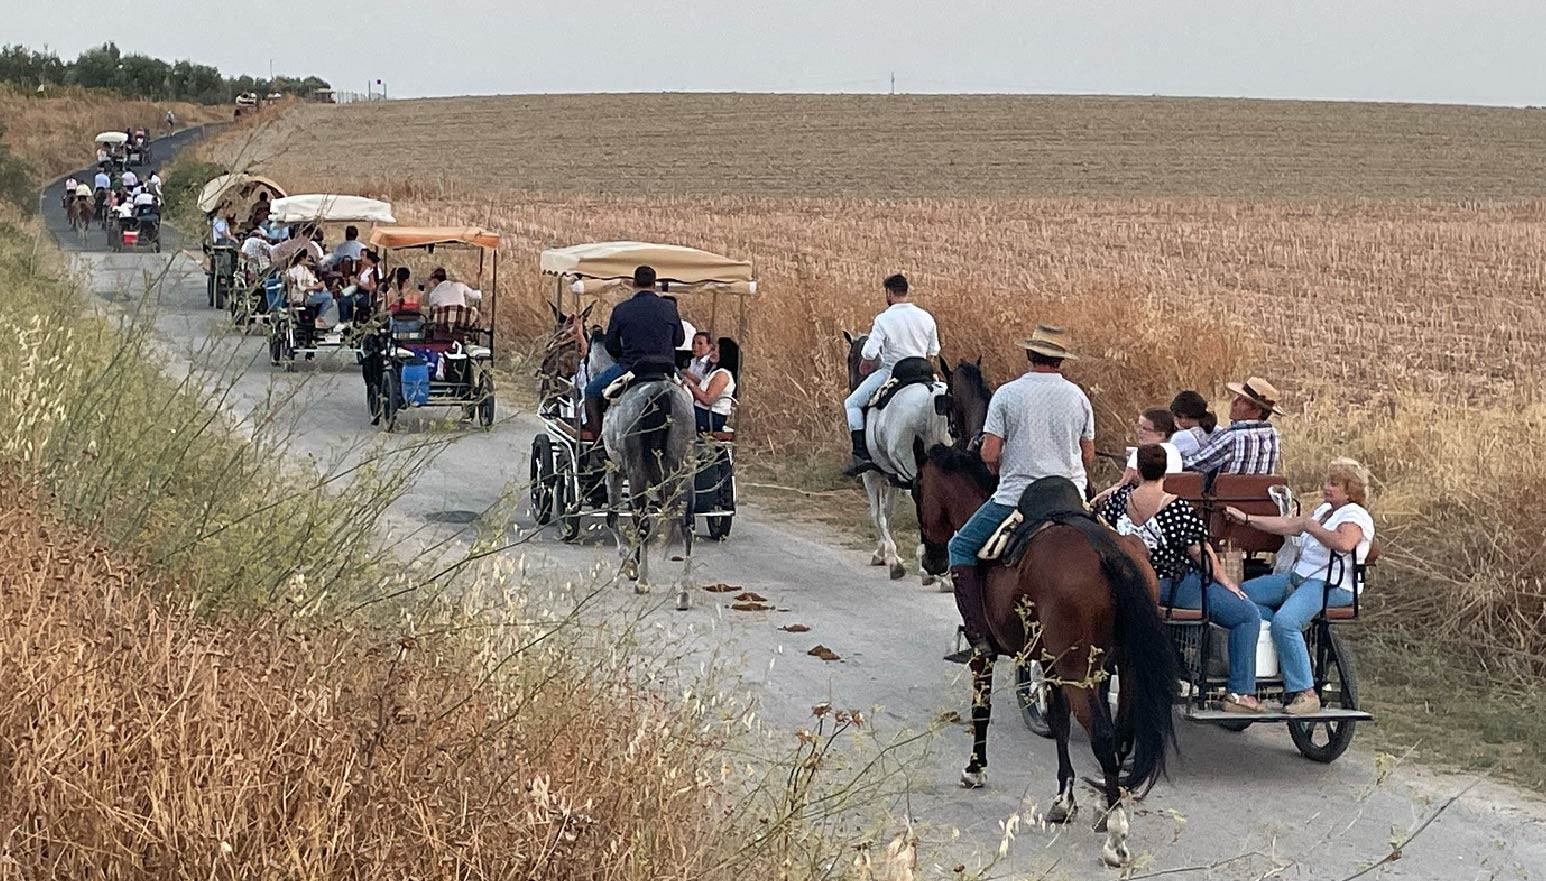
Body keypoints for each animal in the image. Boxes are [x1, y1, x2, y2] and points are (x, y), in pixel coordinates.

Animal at [584, 329, 695, 602]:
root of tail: (661, 394)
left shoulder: (614, 472)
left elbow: (613, 518)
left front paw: (630, 566)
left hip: (636, 475)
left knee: (642, 523)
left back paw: (643, 581)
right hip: (684, 473)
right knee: (686, 524)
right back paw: (683, 592)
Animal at [847, 329, 952, 584]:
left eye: (850, 359)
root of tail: (930, 396)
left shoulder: (872, 473)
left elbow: (878, 514)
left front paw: (893, 560)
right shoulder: (892, 477)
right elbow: (888, 512)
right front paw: (883, 553)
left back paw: (929, 569)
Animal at [909, 438, 1174, 865]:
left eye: (917, 488)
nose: (932, 559)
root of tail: (1106, 551)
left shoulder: (988, 654)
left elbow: (982, 709)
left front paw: (975, 769)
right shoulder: (1054, 665)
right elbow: (1060, 723)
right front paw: (1065, 800)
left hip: (1078, 670)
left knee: (1103, 735)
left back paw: (1116, 836)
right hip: (1123, 667)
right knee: (1121, 733)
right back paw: (1106, 806)